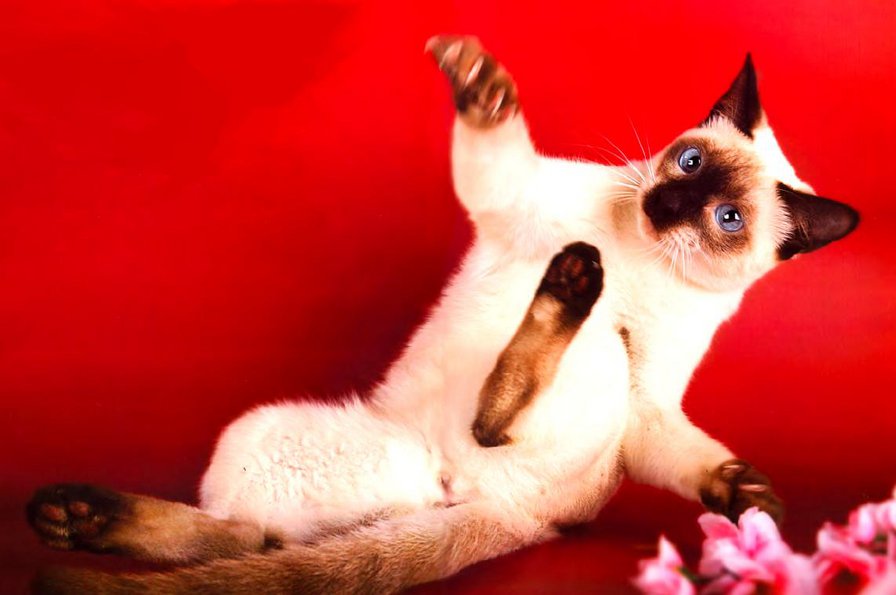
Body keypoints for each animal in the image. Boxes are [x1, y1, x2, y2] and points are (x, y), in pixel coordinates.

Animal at [25, 36, 858, 594]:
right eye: (687, 164)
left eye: (725, 219)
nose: (670, 205)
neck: (637, 253)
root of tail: (502, 511)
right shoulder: (514, 202)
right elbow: (495, 139)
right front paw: (482, 87)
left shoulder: (648, 400)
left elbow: (691, 457)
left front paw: (747, 500)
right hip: (263, 437)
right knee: (250, 539)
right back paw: (72, 519)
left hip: (606, 369)